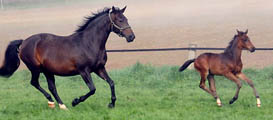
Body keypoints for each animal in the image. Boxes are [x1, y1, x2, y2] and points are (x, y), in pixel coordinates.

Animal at [0, 6, 135, 109]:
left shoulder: (99, 68)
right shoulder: (83, 71)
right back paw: (52, 101)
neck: (89, 43)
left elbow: (111, 83)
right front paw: (75, 101)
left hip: (47, 71)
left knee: (52, 87)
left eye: (126, 19)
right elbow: (92, 89)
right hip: (35, 69)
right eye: (120, 20)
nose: (131, 37)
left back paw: (61, 105)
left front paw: (111, 104)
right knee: (35, 83)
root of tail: (23, 42)